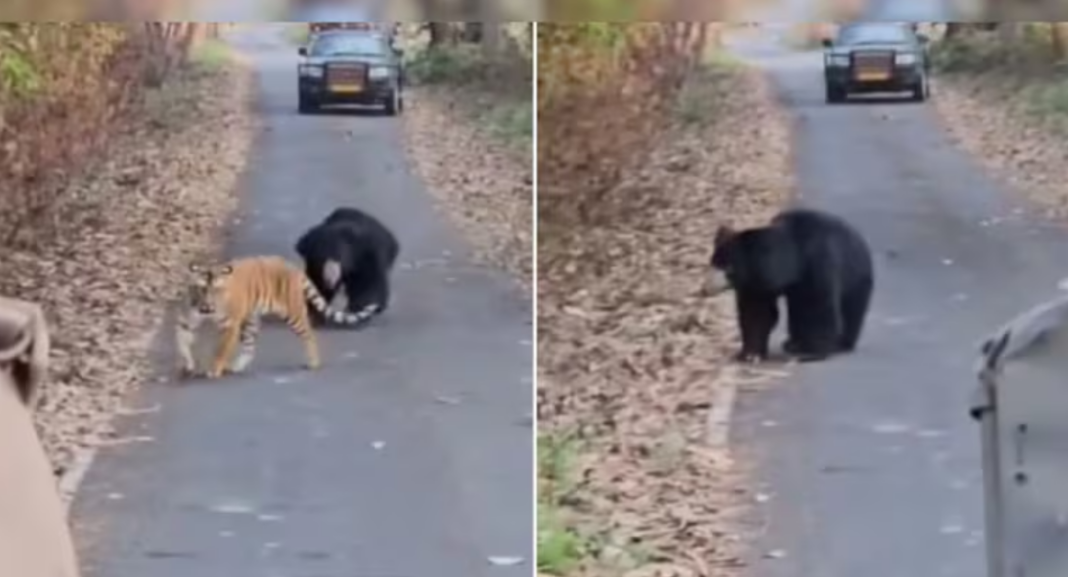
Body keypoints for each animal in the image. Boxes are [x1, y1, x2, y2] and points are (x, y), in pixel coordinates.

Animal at [175, 255, 378, 380]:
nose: (208, 307)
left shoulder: (229, 325)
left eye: (217, 289)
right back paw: (236, 367)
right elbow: (182, 343)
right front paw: (188, 365)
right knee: (250, 346)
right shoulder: (186, 320)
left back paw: (313, 363)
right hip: (251, 320)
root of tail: (294, 267)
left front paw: (213, 370)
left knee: (309, 335)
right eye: (201, 288)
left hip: (293, 313)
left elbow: (220, 349)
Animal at [705, 207, 874, 364]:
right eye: (713, 263)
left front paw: (812, 353)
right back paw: (793, 343)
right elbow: (757, 311)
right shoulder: (758, 283)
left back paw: (840, 343)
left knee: (851, 310)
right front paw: (750, 354)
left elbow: (817, 307)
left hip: (856, 277)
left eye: (729, 268)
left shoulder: (817, 265)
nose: (707, 288)